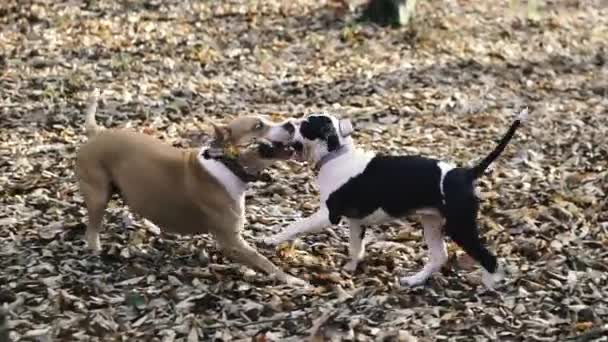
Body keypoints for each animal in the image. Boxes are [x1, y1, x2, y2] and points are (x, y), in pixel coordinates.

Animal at [76, 91, 304, 286]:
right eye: (258, 126)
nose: (291, 124)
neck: (226, 163)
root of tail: (96, 133)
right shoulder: (230, 240)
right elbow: (263, 260)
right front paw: (292, 280)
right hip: (98, 196)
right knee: (91, 231)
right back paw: (96, 253)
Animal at [264, 109, 528, 288]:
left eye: (304, 124)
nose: (288, 124)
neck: (336, 154)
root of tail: (467, 173)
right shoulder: (356, 222)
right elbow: (355, 247)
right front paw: (351, 267)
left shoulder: (328, 215)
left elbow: (296, 226)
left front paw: (272, 239)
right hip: (432, 224)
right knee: (439, 257)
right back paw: (414, 280)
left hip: (460, 227)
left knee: (489, 258)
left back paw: (490, 284)